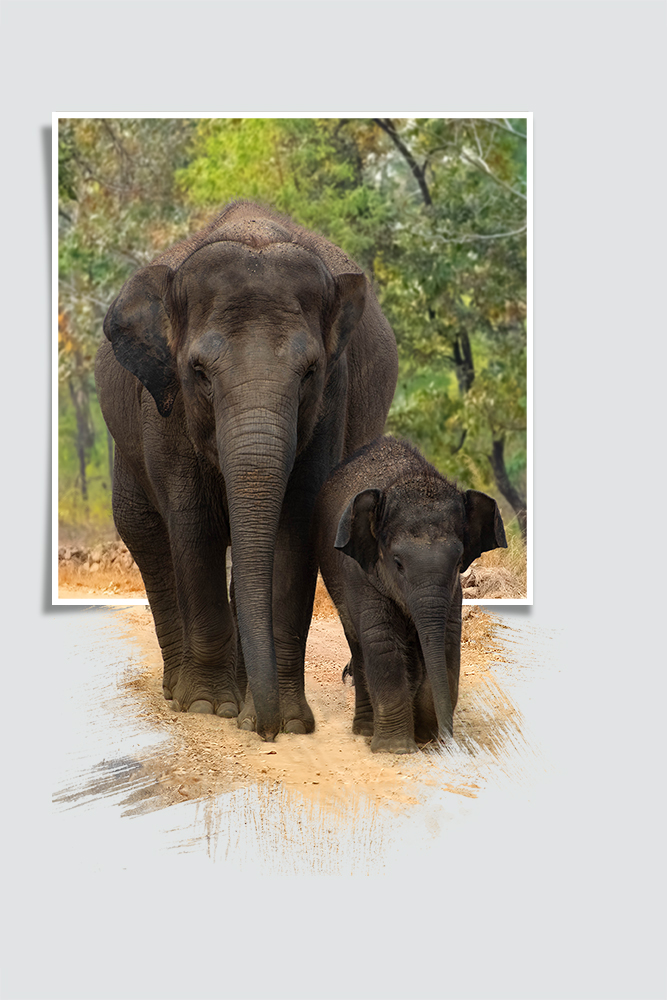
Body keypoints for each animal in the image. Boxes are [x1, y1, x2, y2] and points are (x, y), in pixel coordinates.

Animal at [95, 201, 398, 741]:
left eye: (310, 372)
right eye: (198, 372)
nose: (266, 732)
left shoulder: (332, 399)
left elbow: (295, 526)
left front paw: (288, 722)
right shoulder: (165, 406)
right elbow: (193, 525)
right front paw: (208, 708)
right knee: (146, 537)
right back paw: (178, 690)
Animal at [314, 436, 507, 753]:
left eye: (459, 561)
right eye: (398, 563)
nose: (448, 740)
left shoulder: (453, 590)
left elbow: (446, 639)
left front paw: (425, 735)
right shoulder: (358, 572)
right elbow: (381, 639)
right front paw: (396, 748)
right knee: (359, 644)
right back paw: (365, 730)